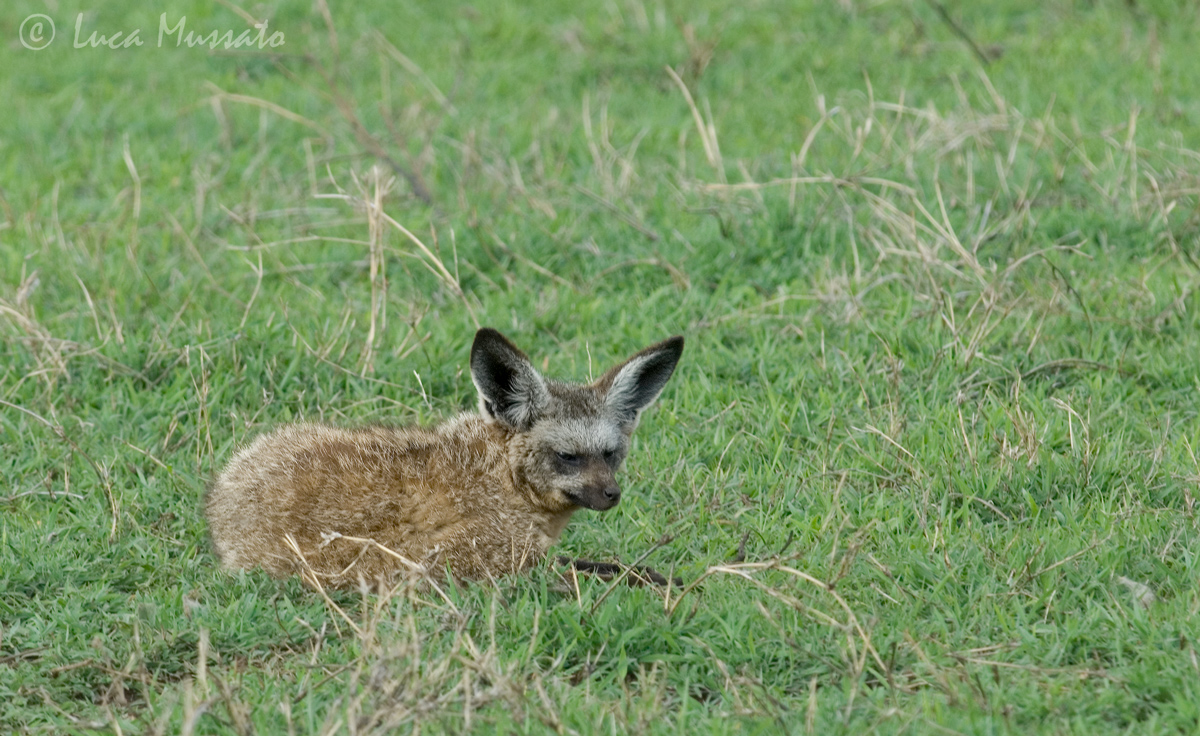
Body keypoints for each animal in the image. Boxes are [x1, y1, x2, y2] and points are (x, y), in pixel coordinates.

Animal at [205, 328, 684, 588]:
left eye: (611, 455)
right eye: (569, 456)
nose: (612, 495)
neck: (502, 482)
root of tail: (222, 499)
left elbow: (616, 566)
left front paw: (666, 577)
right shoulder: (478, 567)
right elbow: (603, 575)